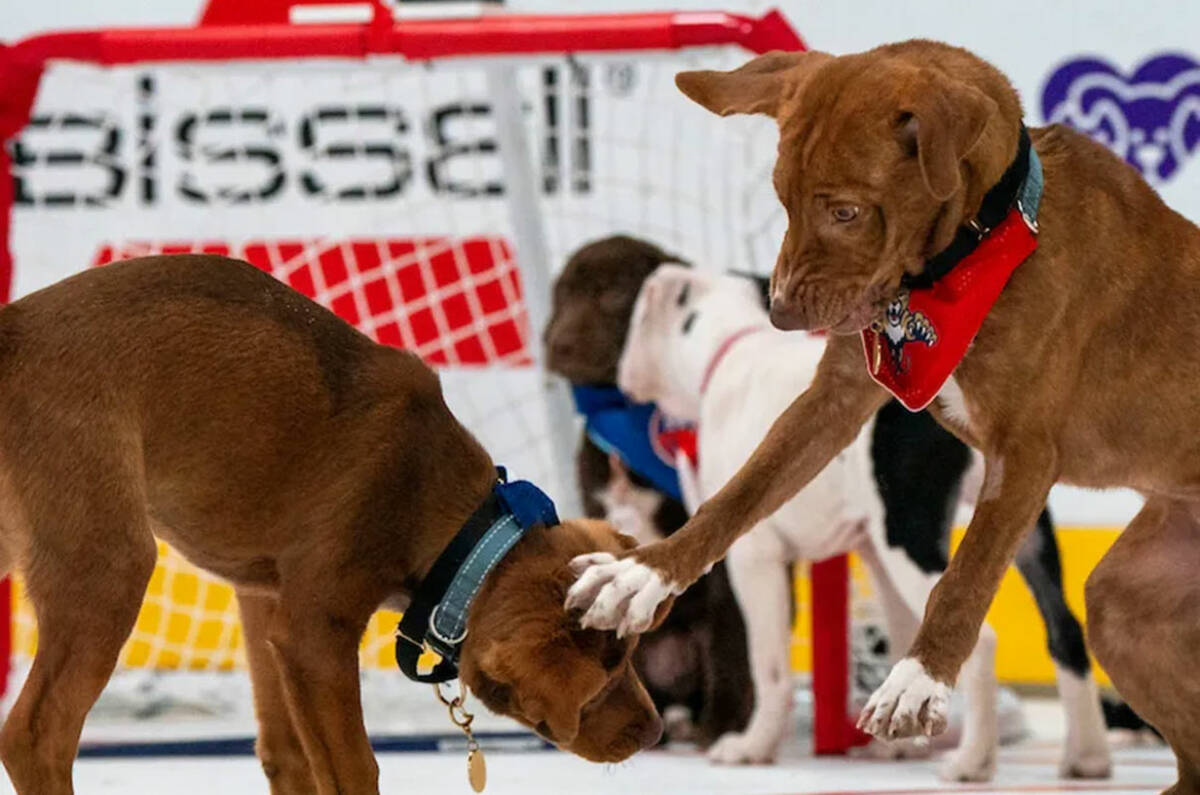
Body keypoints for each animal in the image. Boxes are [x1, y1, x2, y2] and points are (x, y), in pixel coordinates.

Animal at [0, 256, 662, 795]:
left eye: (632, 650)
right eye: (606, 674)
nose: (657, 734)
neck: (455, 527)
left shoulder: (267, 604)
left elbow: (287, 753)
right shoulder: (315, 634)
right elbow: (353, 769)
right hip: (108, 562)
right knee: (33, 735)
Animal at [619, 266, 1113, 778]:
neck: (734, 343)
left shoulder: (757, 559)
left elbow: (769, 666)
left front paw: (752, 746)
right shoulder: (874, 557)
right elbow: (900, 635)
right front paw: (899, 736)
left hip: (906, 535)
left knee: (982, 641)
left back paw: (972, 761)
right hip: (1021, 527)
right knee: (1065, 631)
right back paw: (1087, 755)